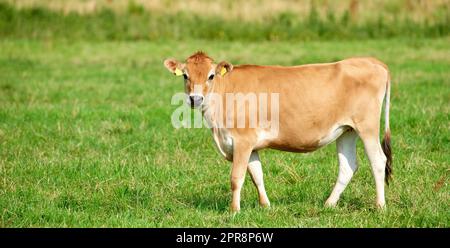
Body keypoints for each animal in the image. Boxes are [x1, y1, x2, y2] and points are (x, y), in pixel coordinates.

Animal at [163, 51, 392, 212]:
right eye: (185, 76)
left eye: (211, 76)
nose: (195, 99)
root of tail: (372, 61)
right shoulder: (251, 145)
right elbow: (257, 175)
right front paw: (266, 205)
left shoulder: (242, 140)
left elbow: (237, 177)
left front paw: (234, 210)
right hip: (347, 130)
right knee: (348, 166)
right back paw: (329, 204)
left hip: (367, 126)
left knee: (378, 161)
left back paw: (380, 206)